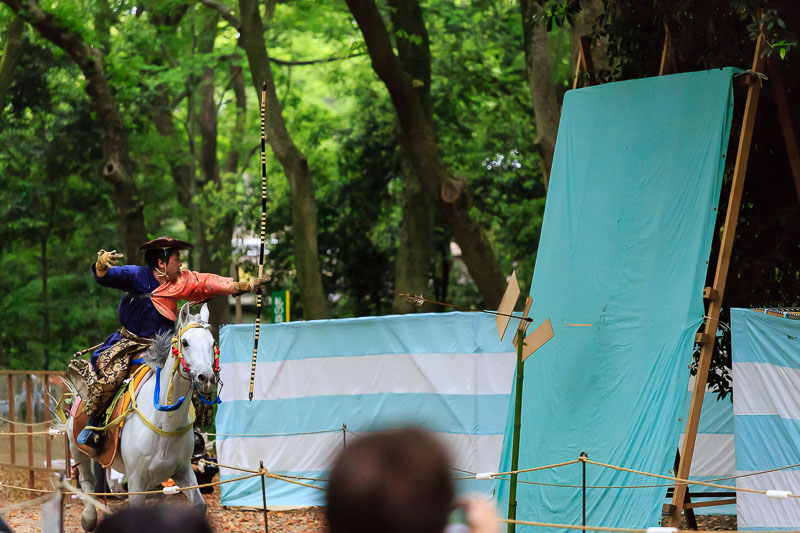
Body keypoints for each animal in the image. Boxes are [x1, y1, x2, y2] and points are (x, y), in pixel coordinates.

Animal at [65, 302, 217, 528]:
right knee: (87, 480)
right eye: (185, 342)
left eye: (212, 343)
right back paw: (89, 517)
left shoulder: (182, 470)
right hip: (77, 448)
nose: (206, 378)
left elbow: (199, 505)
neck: (164, 422)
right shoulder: (137, 481)